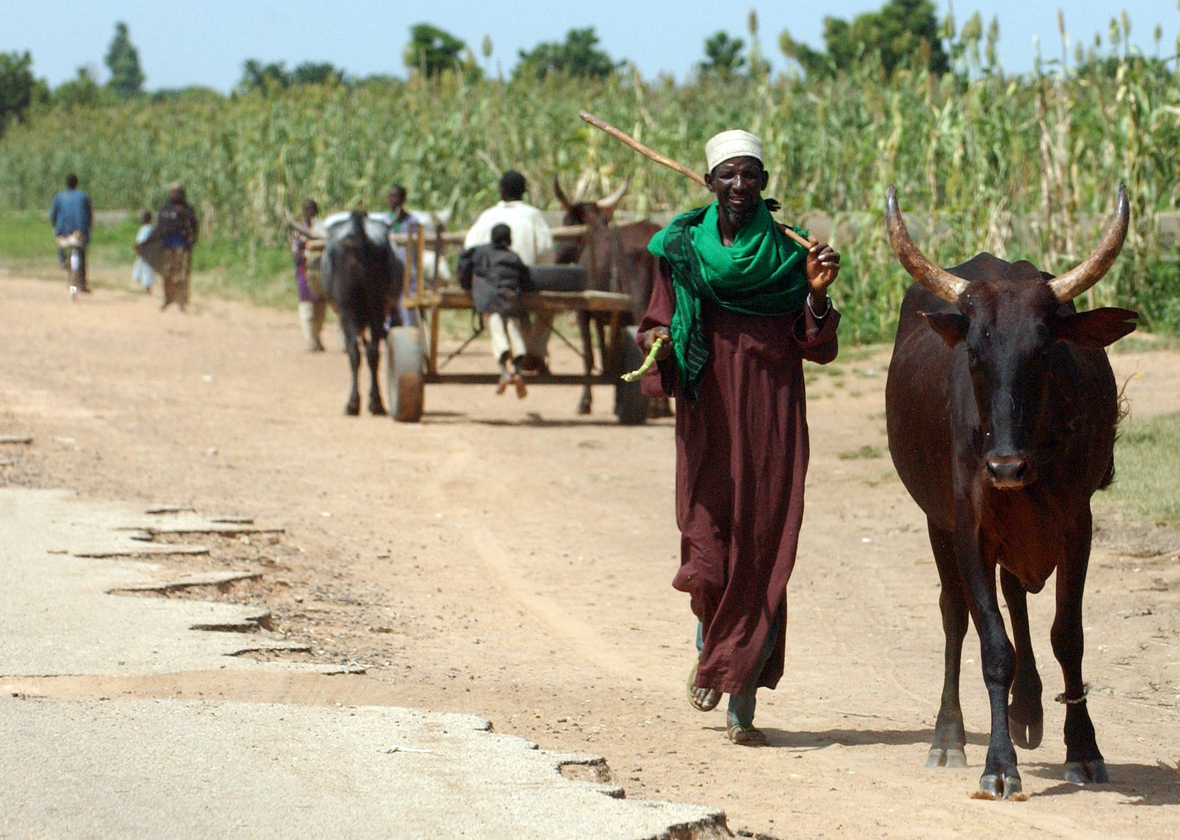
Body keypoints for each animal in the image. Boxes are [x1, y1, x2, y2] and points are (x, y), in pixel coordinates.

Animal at [887, 185, 1137, 802]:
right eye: (975, 356)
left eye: (1044, 351)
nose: (1004, 467)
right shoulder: (969, 529)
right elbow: (992, 645)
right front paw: (999, 765)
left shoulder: (1076, 526)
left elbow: (1067, 636)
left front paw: (1084, 749)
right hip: (938, 525)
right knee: (956, 616)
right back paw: (949, 736)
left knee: (1018, 598)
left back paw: (1028, 707)